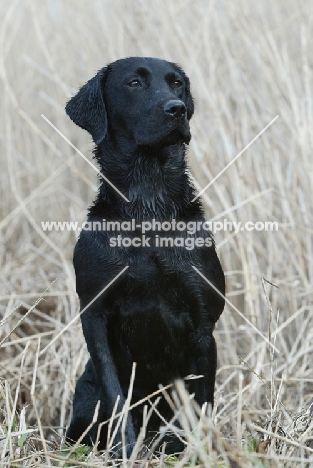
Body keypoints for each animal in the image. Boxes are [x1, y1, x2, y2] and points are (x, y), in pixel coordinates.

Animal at [65, 56, 224, 456]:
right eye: (134, 83)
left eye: (177, 83)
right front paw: (123, 451)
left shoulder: (204, 325)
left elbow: (201, 401)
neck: (148, 207)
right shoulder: (95, 315)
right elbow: (117, 398)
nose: (176, 109)